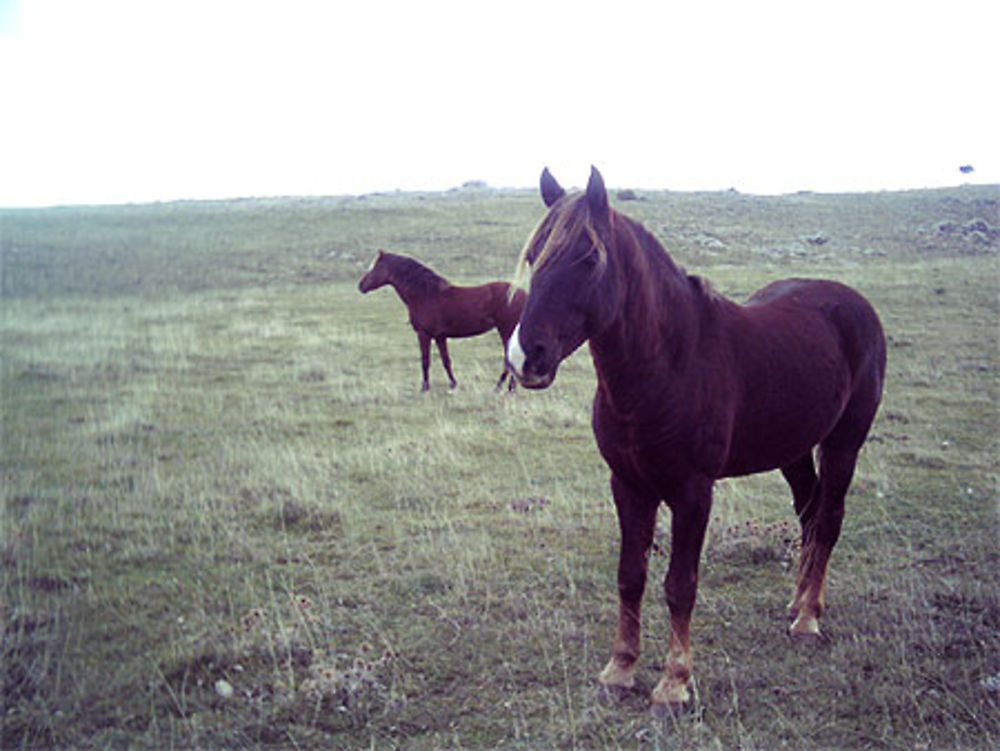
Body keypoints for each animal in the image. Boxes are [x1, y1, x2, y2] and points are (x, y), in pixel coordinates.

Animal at [362, 251, 528, 394]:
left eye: (375, 267)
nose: (360, 285)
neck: (426, 294)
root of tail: (523, 293)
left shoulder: (424, 334)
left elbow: (425, 361)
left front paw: (425, 388)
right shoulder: (440, 337)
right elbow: (446, 361)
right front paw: (453, 384)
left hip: (506, 330)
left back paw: (501, 387)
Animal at [508, 169, 884, 716]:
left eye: (590, 258)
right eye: (535, 256)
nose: (526, 357)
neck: (667, 365)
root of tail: (854, 303)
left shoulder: (692, 493)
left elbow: (680, 586)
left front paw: (674, 684)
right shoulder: (628, 486)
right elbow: (630, 576)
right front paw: (620, 670)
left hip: (843, 446)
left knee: (830, 520)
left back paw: (809, 618)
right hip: (794, 452)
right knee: (810, 516)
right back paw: (797, 603)